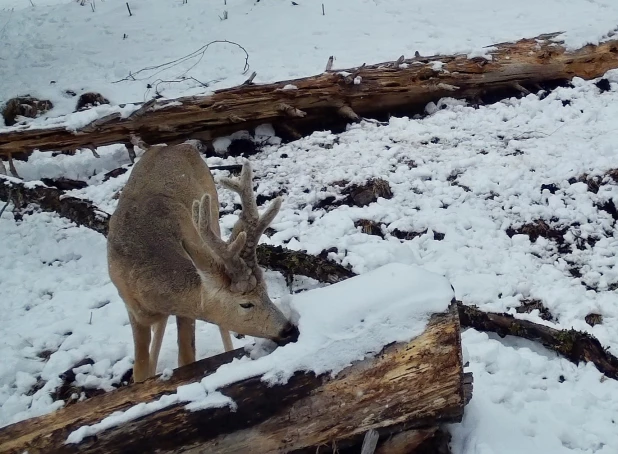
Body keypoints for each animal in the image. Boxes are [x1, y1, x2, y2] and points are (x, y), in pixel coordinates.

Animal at [106, 140, 298, 382]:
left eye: (266, 291)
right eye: (246, 303)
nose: (289, 328)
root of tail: (176, 145)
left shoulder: (184, 312)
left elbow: (187, 358)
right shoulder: (131, 307)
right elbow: (139, 370)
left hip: (212, 211)